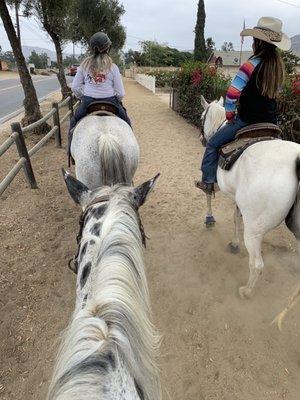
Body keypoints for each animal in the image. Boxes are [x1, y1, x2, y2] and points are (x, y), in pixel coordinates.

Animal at [199, 96, 300, 296]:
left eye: (201, 117)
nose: (202, 139)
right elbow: (236, 217)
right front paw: (234, 243)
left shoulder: (214, 181)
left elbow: (208, 193)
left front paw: (209, 219)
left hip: (254, 230)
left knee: (257, 264)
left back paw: (246, 291)